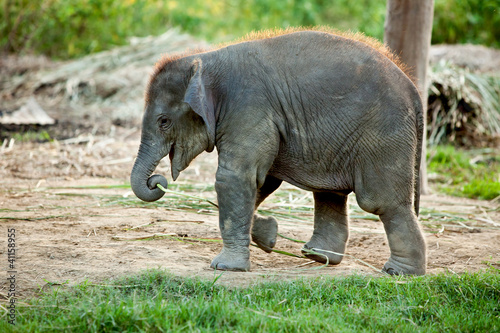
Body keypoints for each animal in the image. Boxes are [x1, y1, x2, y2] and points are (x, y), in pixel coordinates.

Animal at [130, 28, 426, 274]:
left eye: (163, 121)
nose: (156, 181)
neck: (204, 60)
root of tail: (414, 91)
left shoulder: (249, 108)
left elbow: (235, 177)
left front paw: (225, 267)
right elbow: (262, 180)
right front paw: (269, 235)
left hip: (383, 135)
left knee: (382, 201)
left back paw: (399, 272)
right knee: (330, 193)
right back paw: (318, 257)